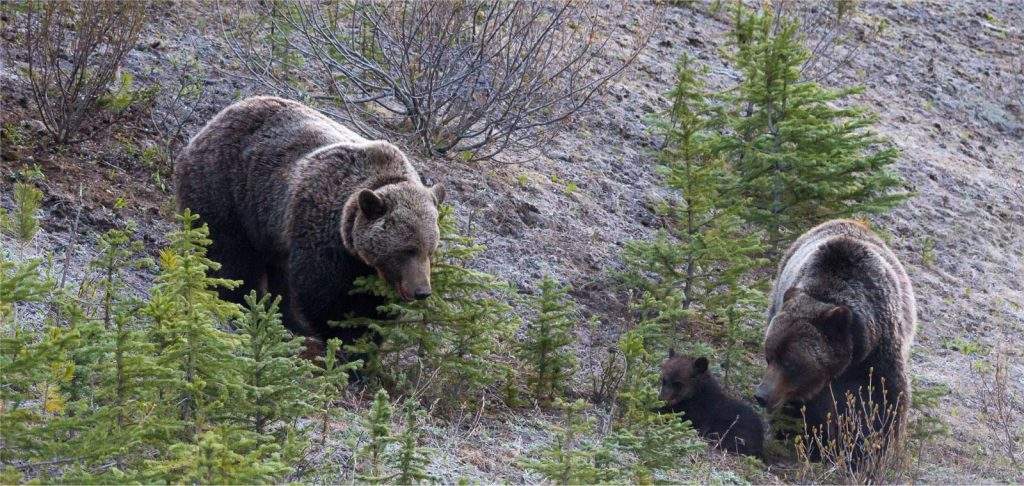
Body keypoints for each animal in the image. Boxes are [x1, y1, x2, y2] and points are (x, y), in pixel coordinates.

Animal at [175, 97, 444, 343]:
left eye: (429, 251)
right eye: (406, 250)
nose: (422, 291)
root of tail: (213, 122)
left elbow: (377, 306)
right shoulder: (322, 232)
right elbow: (324, 294)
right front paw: (344, 335)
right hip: (226, 191)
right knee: (231, 255)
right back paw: (245, 305)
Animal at [757, 218, 917, 462]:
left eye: (790, 362)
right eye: (769, 356)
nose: (761, 396)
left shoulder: (877, 353)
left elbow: (883, 398)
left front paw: (870, 450)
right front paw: (798, 435)